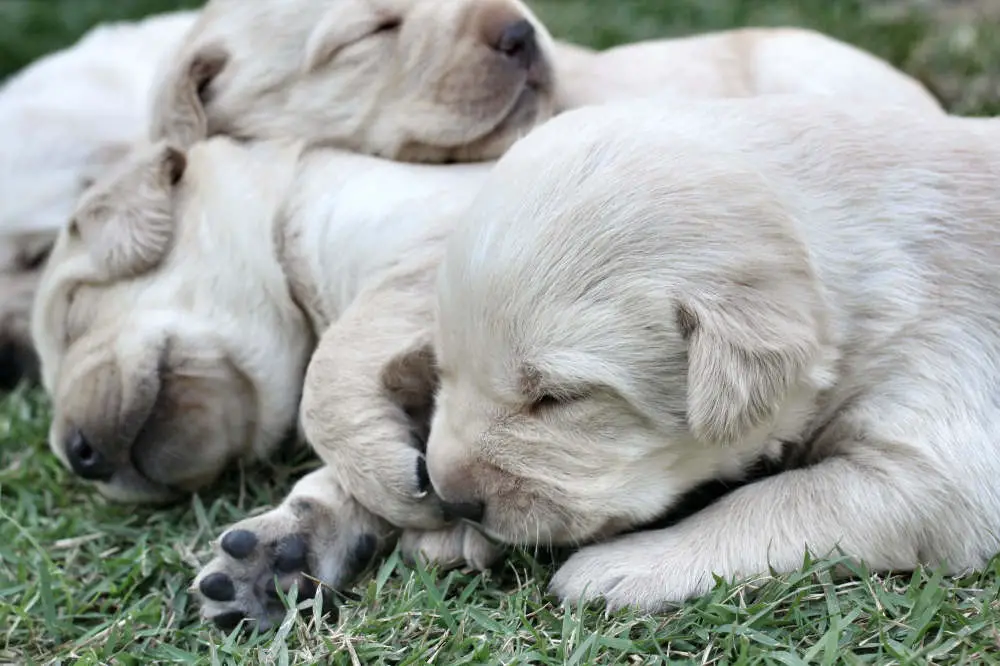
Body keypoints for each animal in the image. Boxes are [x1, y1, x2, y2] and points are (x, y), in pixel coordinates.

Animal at [426, 96, 1000, 608]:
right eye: (443, 370)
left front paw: (629, 563)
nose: (452, 500)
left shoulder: (937, 417)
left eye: (559, 399)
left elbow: (779, 499)